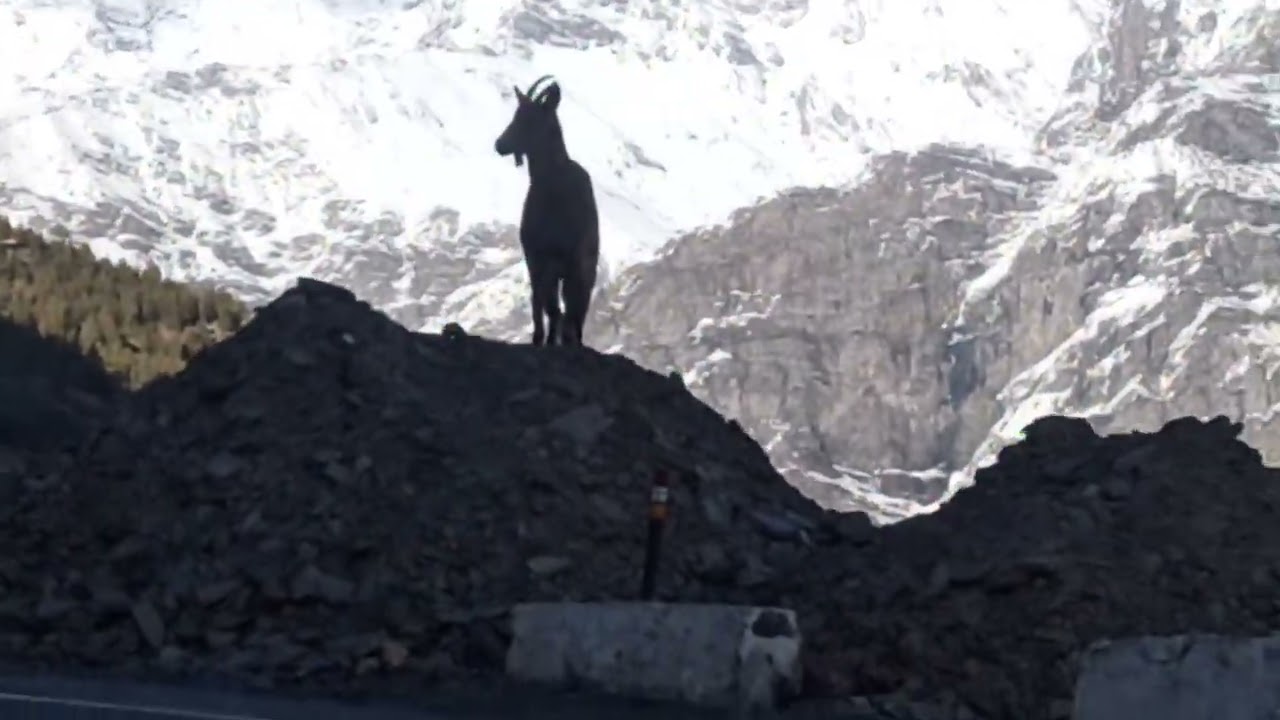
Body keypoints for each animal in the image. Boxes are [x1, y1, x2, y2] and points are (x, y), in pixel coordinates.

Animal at [494, 75, 600, 347]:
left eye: (527, 118)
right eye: (516, 114)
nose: (500, 144)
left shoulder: (542, 257)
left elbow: (543, 303)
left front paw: (540, 339)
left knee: (562, 309)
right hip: (577, 267)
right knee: (569, 312)